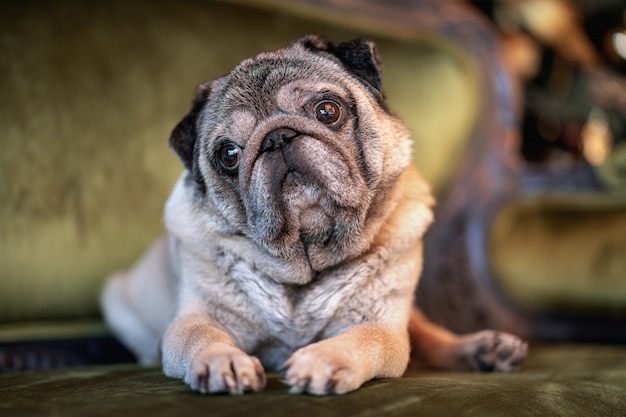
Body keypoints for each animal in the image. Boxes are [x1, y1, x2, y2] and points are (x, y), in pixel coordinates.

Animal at [100, 35, 524, 394]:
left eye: (328, 111)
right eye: (229, 154)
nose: (277, 137)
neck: (305, 258)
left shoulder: (381, 324)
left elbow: (364, 338)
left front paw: (325, 360)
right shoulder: (197, 318)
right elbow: (202, 337)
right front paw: (225, 362)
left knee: (425, 336)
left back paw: (482, 348)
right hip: (118, 300)